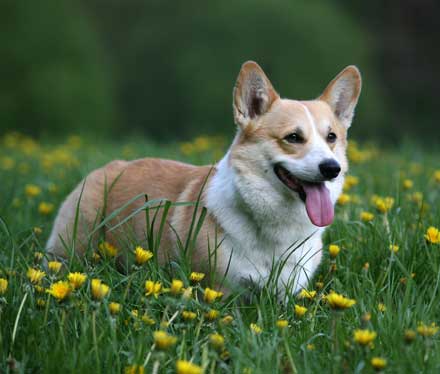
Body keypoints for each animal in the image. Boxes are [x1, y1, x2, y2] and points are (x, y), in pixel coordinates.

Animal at [47, 60, 360, 296]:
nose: (332, 168)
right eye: (293, 137)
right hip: (75, 245)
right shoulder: (223, 290)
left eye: (331, 137)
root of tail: (110, 166)